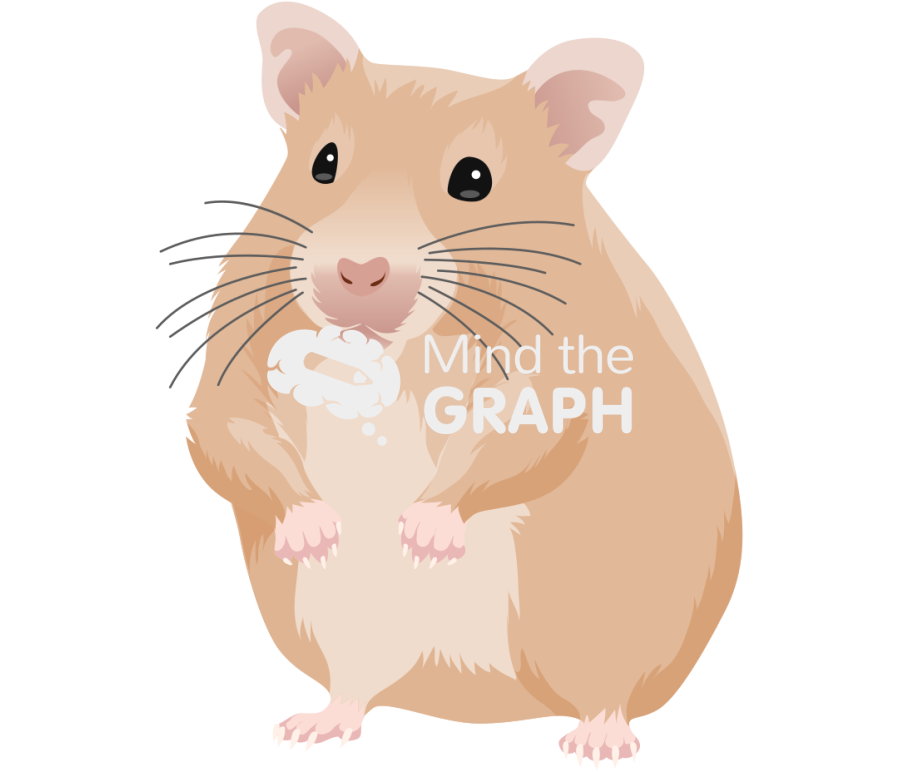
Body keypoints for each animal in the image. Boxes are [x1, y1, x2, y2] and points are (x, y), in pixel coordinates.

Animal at [164, 2, 742, 765]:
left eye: (474, 178)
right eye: (324, 163)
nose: (357, 272)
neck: (387, 350)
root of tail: (490, 701)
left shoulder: (561, 369)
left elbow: (512, 435)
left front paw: (424, 533)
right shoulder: (231, 358)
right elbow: (228, 430)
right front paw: (316, 530)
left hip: (612, 617)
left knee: (606, 691)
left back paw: (597, 745)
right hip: (335, 620)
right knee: (359, 683)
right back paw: (308, 729)